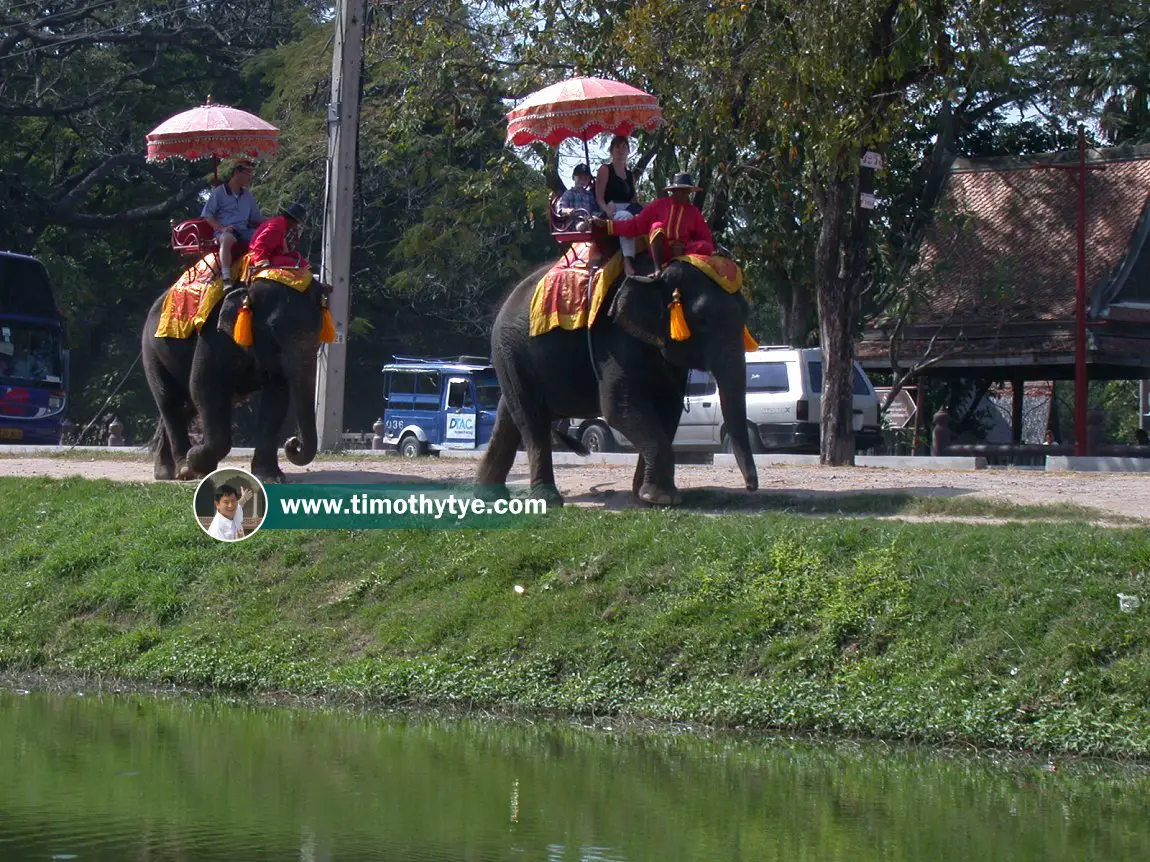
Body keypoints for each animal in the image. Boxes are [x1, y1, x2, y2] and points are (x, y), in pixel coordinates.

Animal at [141, 273, 333, 482]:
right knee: (170, 401)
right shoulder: (214, 337)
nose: (293, 442)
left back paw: (168, 473)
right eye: (274, 328)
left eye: (320, 329)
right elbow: (204, 388)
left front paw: (270, 477)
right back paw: (184, 470)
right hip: (151, 351)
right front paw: (195, 459)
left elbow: (277, 398)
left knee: (185, 406)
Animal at [480, 251, 759, 505]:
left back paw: (490, 496)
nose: (751, 488)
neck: (657, 273)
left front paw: (644, 497)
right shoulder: (612, 338)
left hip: (512, 359)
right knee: (532, 419)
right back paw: (547, 500)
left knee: (509, 414)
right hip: (510, 351)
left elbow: (669, 408)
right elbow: (618, 407)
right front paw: (661, 499)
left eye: (746, 314)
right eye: (702, 320)